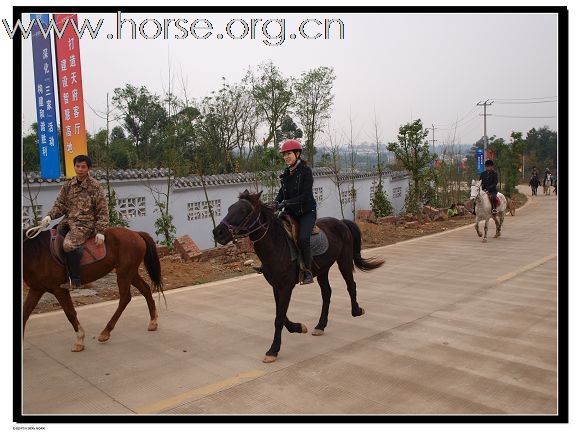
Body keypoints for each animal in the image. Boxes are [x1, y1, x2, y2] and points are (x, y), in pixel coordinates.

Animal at [22, 227, 163, 352]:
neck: (38, 252)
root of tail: (135, 233)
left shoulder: (59, 289)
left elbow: (70, 313)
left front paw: (79, 341)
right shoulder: (36, 289)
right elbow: (25, 313)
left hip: (125, 273)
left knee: (125, 298)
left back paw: (106, 332)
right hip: (130, 273)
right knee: (145, 289)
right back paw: (153, 321)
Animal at [213, 192, 386, 364]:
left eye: (243, 211)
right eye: (229, 208)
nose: (218, 232)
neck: (276, 245)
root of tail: (341, 222)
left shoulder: (286, 287)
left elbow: (279, 318)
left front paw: (273, 350)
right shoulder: (276, 286)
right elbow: (281, 315)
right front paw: (298, 327)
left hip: (344, 260)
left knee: (351, 285)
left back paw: (356, 310)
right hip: (322, 270)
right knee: (327, 293)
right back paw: (320, 325)